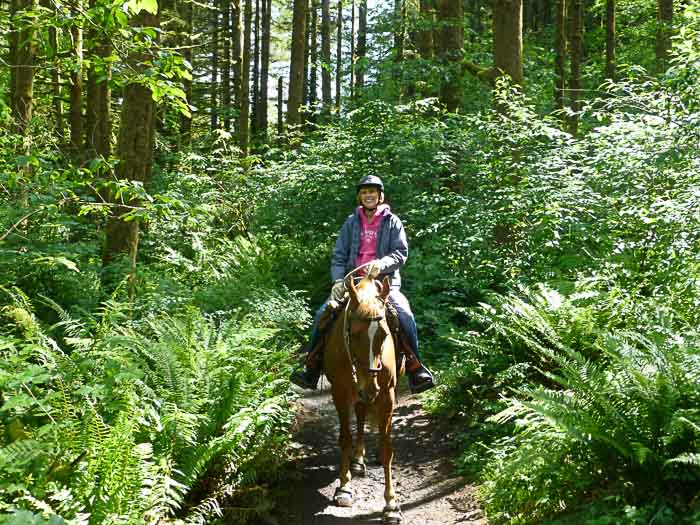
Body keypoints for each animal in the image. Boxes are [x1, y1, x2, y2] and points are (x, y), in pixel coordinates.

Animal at [322, 272, 400, 520]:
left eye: (384, 334)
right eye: (354, 334)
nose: (369, 386)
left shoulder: (387, 396)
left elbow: (387, 449)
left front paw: (391, 505)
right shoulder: (339, 393)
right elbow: (345, 439)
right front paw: (344, 489)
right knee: (360, 414)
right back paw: (357, 461)